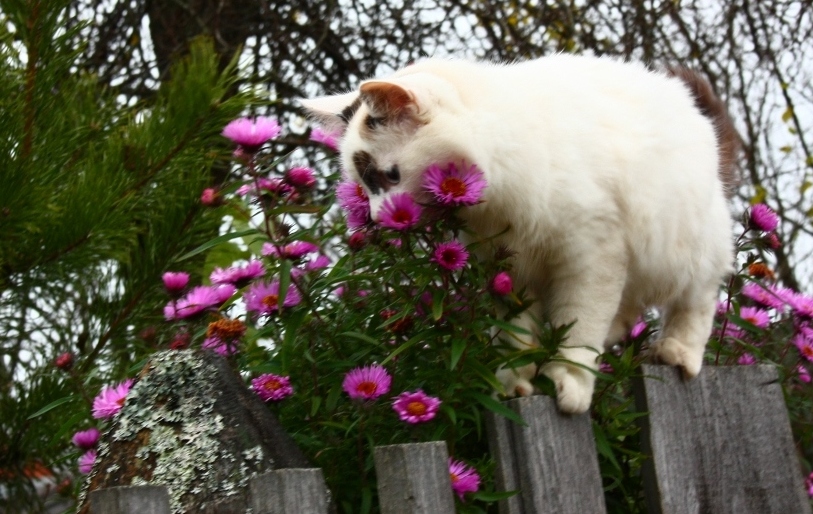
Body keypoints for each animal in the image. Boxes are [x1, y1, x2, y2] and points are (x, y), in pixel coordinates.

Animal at [302, 54, 740, 412]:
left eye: (389, 176)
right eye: (365, 185)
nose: (378, 217)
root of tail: (689, 103)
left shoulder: (592, 260)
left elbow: (578, 329)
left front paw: (569, 381)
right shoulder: (507, 268)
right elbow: (516, 337)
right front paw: (515, 382)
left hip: (687, 252)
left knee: (696, 303)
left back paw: (676, 352)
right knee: (627, 309)